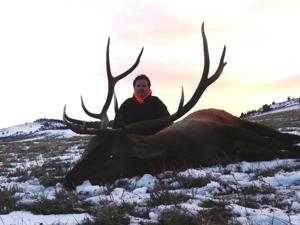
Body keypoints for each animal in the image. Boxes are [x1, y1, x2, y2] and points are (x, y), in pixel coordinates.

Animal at [62, 24, 300, 190]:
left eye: (111, 155)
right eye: (87, 148)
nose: (68, 179)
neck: (183, 150)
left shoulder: (226, 129)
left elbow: (283, 146)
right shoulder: (232, 155)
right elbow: (275, 151)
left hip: (239, 120)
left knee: (280, 135)